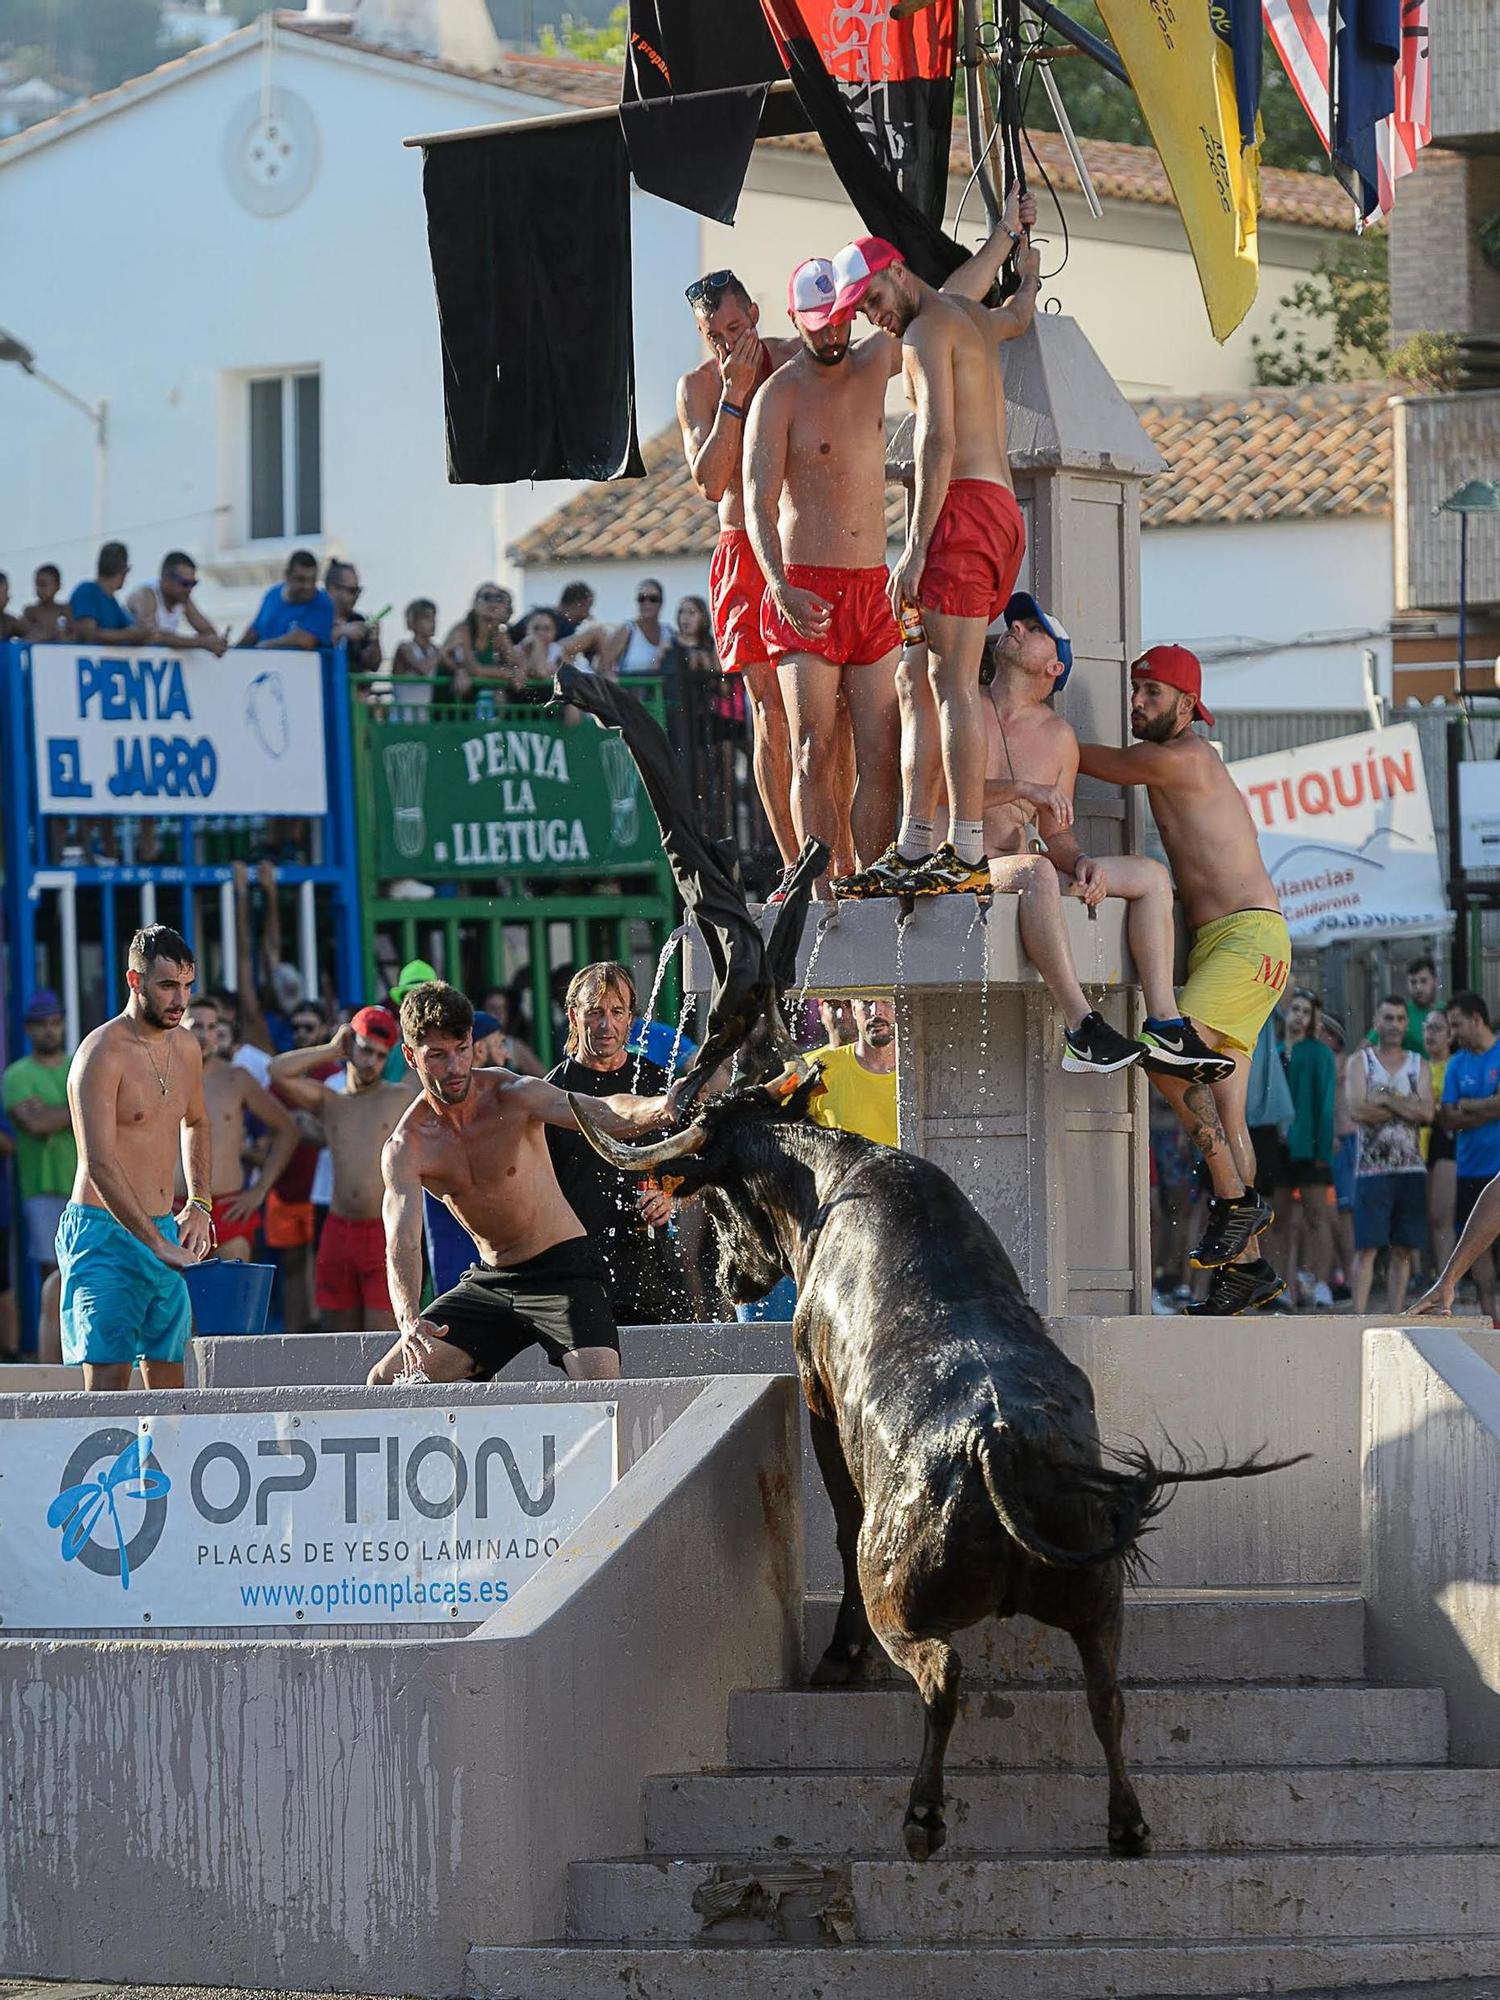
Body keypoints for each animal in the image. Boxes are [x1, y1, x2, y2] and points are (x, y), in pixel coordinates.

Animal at [576, 1088, 1304, 1864]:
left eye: (713, 1201)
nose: (727, 1281)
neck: (835, 1183)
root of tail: (995, 1442)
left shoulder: (817, 1396)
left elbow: (842, 1524)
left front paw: (838, 1659)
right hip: (1098, 1597)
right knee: (1106, 1693)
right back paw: (1126, 1823)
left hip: (897, 1599)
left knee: (941, 1674)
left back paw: (922, 1813)